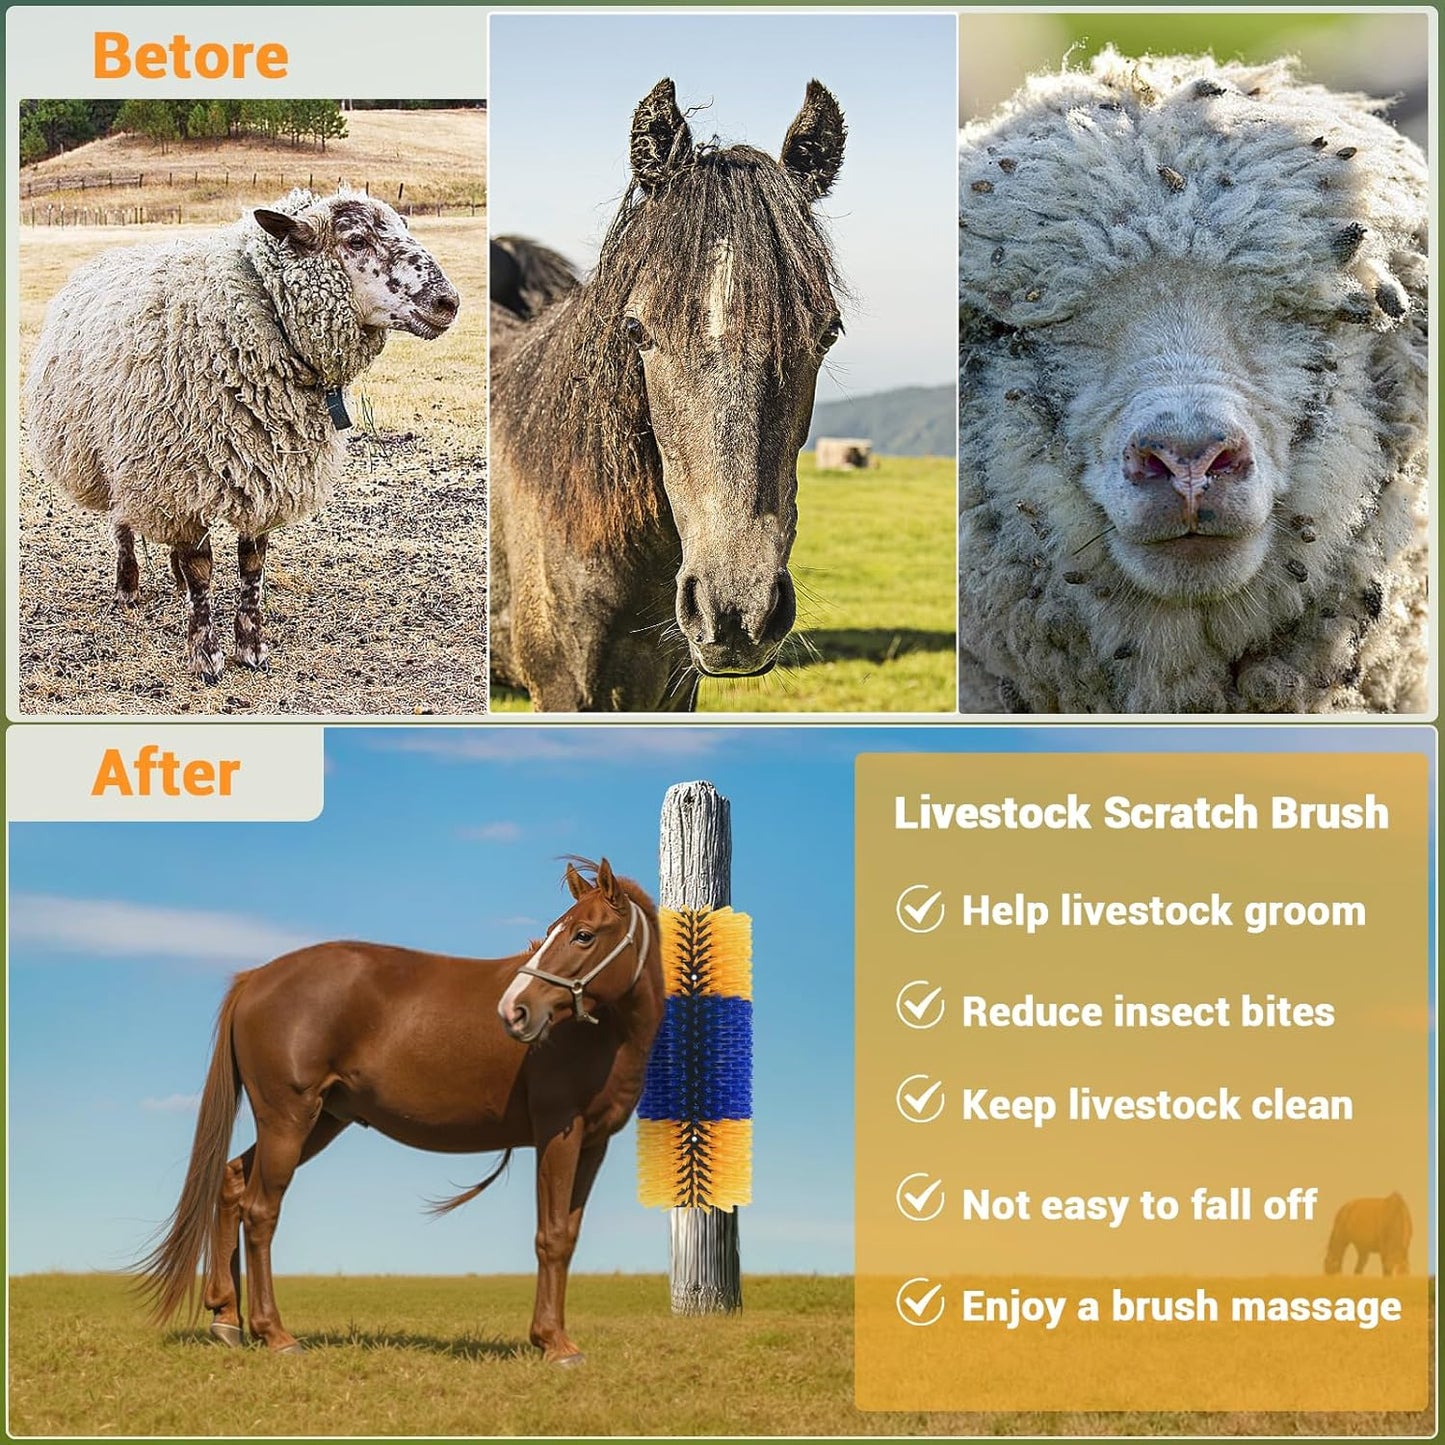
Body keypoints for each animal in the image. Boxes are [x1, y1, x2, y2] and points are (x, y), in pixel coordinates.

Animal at [25, 188, 460, 683]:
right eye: (355, 240)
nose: (448, 303)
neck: (256, 321)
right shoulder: (178, 478)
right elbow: (202, 570)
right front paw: (205, 654)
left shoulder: (264, 472)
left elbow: (252, 564)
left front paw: (251, 647)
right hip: (113, 456)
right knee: (122, 523)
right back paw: (128, 586)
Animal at [137, 859, 662, 1364]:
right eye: (555, 930)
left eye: (583, 934)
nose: (515, 1010)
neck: (602, 1033)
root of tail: (255, 979)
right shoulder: (558, 1132)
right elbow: (550, 1236)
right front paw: (554, 1343)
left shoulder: (592, 1142)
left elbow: (567, 1235)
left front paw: (555, 1337)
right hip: (287, 1119)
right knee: (260, 1211)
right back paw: (276, 1335)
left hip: (316, 1122)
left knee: (231, 1181)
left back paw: (227, 1317)